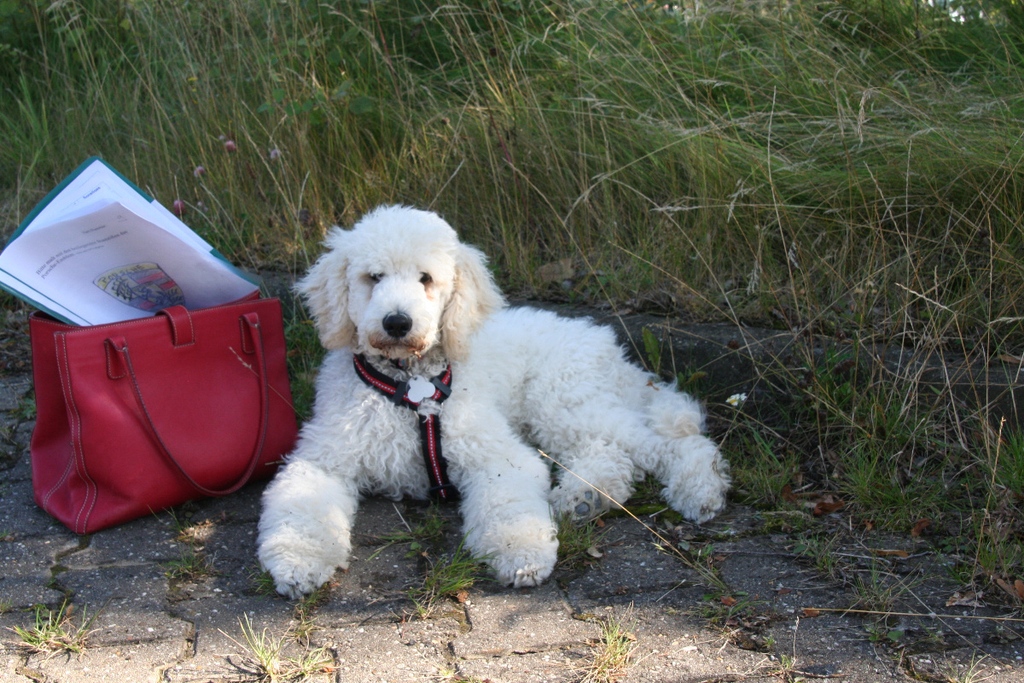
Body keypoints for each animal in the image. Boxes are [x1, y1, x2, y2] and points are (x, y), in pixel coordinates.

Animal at [260, 204, 733, 598]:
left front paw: (521, 554)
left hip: (561, 401)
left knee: (665, 442)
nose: (396, 322)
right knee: (612, 453)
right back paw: (584, 498)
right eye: (373, 277)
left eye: (426, 279)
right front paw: (299, 562)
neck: (411, 385)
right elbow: (302, 507)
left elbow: (509, 507)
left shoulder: (495, 453)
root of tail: (601, 341)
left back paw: (699, 487)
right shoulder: (324, 460)